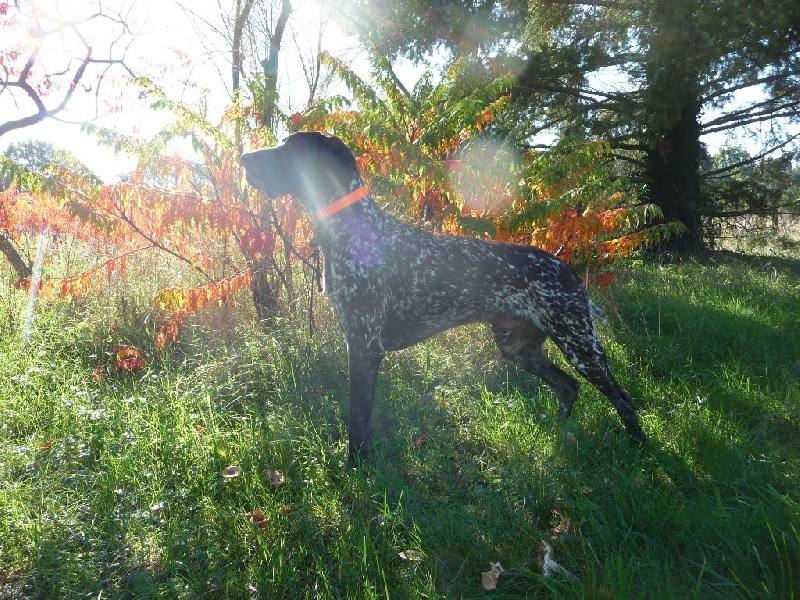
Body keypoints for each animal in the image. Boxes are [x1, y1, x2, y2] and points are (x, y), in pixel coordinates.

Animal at [241, 132, 648, 460]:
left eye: (289, 149)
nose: (243, 158)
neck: (353, 230)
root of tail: (568, 271)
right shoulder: (360, 345)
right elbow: (364, 420)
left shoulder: (364, 346)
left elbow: (357, 421)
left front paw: (354, 468)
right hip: (520, 348)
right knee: (568, 387)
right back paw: (560, 433)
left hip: (579, 344)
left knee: (621, 397)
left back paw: (639, 446)